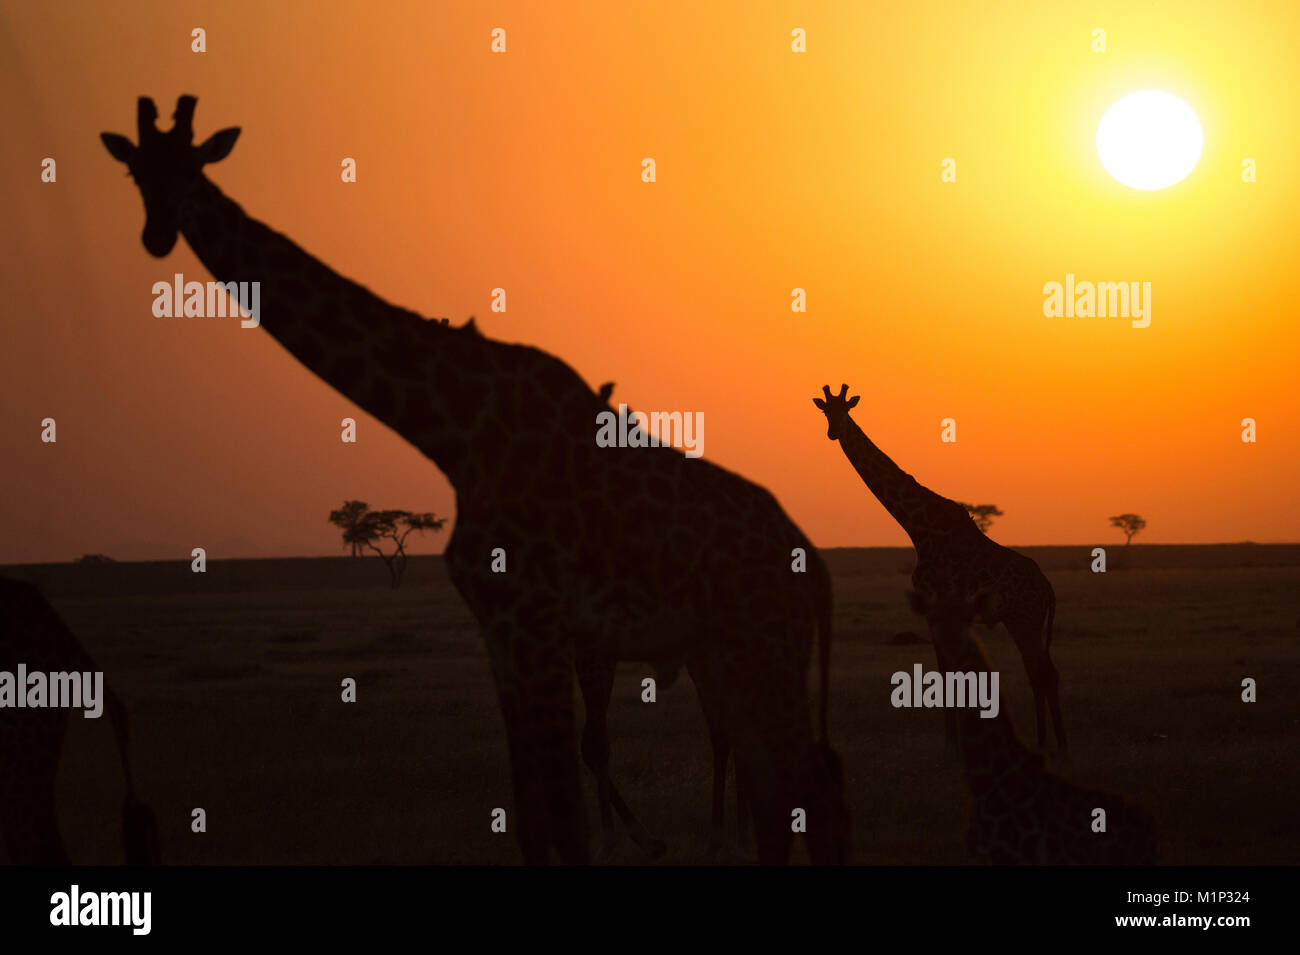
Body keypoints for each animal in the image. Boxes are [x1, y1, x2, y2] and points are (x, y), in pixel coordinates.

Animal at [104, 97, 852, 867]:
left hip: (761, 646)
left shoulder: (536, 621)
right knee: (780, 792)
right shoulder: (500, 632)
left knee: (814, 788)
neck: (451, 430)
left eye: (192, 167)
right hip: (732, 655)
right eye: (134, 170)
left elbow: (566, 820)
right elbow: (531, 820)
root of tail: (816, 567)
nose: (156, 234)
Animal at [811, 384, 1066, 748]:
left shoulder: (934, 604)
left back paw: (1055, 745)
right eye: (825, 411)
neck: (917, 526)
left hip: (1026, 618)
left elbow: (946, 672)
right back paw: (1049, 743)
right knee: (1041, 672)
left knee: (1043, 672)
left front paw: (953, 742)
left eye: (845, 409)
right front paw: (956, 738)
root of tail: (1046, 586)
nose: (834, 432)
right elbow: (948, 673)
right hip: (1020, 620)